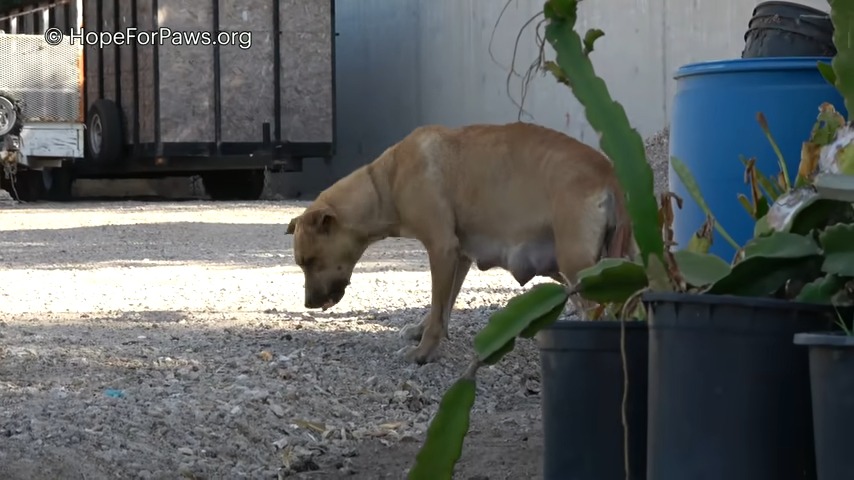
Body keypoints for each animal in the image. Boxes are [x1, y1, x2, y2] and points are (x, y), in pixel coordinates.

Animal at [288, 123, 636, 364]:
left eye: (309, 261)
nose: (307, 304)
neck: (385, 182)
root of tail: (609, 174)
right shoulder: (459, 258)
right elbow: (441, 307)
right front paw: (423, 331)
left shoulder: (441, 249)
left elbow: (438, 305)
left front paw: (424, 351)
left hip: (578, 269)